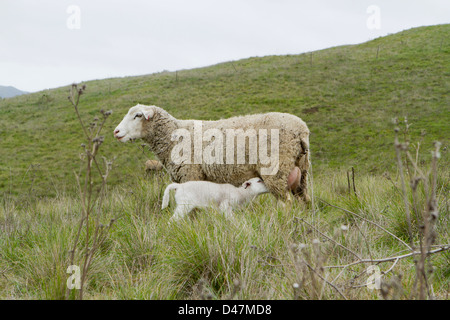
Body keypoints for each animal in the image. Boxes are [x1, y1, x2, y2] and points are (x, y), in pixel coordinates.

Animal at [113, 104, 310, 204]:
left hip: (276, 170)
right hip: (302, 171)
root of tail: (301, 130)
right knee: (305, 200)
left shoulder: (191, 175)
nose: (116, 132)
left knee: (286, 203)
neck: (173, 136)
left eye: (138, 115)